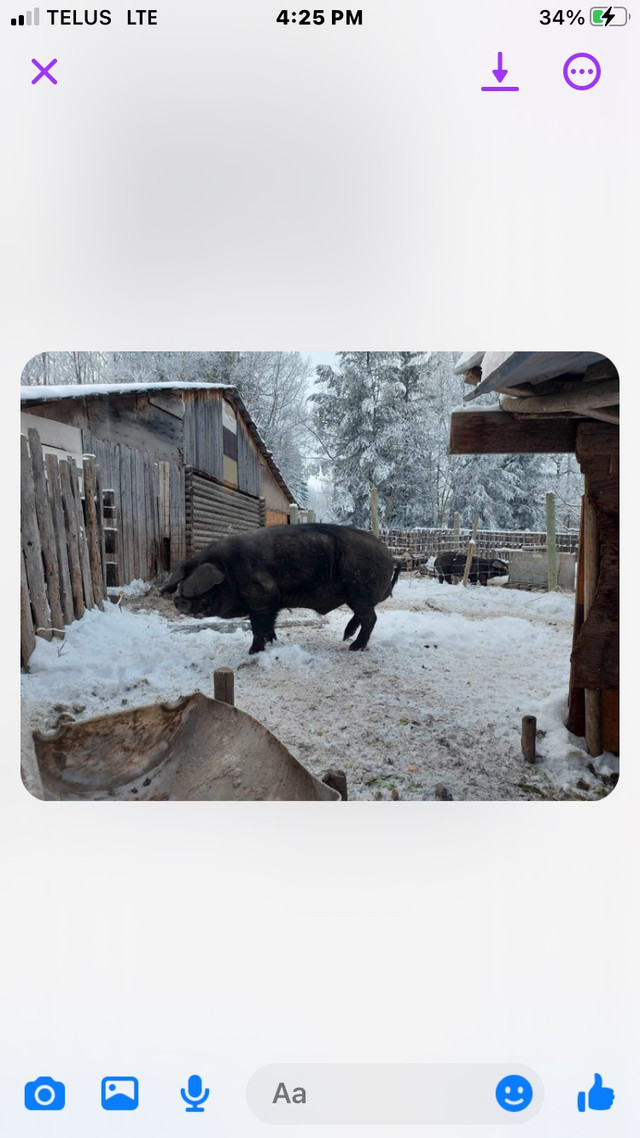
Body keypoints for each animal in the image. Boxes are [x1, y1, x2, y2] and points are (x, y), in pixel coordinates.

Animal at [159, 521, 398, 655]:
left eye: (202, 587)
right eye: (182, 581)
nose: (178, 599)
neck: (228, 570)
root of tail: (390, 555)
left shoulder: (262, 597)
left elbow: (257, 627)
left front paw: (252, 652)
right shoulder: (271, 604)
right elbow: (268, 625)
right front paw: (272, 642)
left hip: (361, 590)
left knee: (370, 618)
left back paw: (353, 647)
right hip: (354, 595)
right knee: (363, 616)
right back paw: (346, 637)